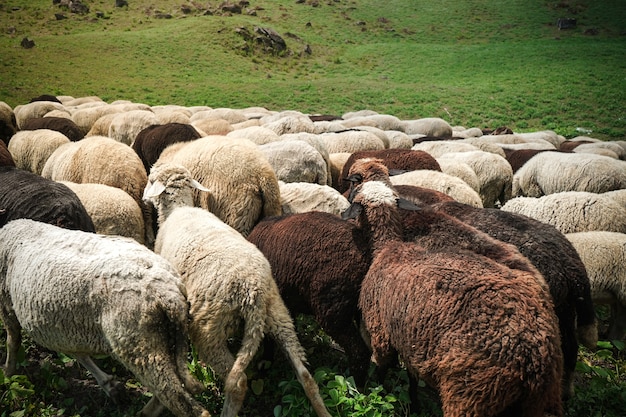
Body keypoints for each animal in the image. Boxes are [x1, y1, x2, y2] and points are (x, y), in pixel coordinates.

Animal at [0, 218, 210, 416]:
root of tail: (169, 294)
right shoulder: (66, 325)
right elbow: (77, 352)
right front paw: (111, 386)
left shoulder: (6, 304)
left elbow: (12, 341)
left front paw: (7, 373)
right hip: (167, 339)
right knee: (169, 391)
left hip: (140, 346)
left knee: (178, 399)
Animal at [143, 162, 330, 416]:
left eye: (150, 179)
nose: (144, 198)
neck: (178, 210)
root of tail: (253, 291)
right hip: (279, 315)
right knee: (306, 376)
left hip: (209, 329)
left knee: (238, 382)